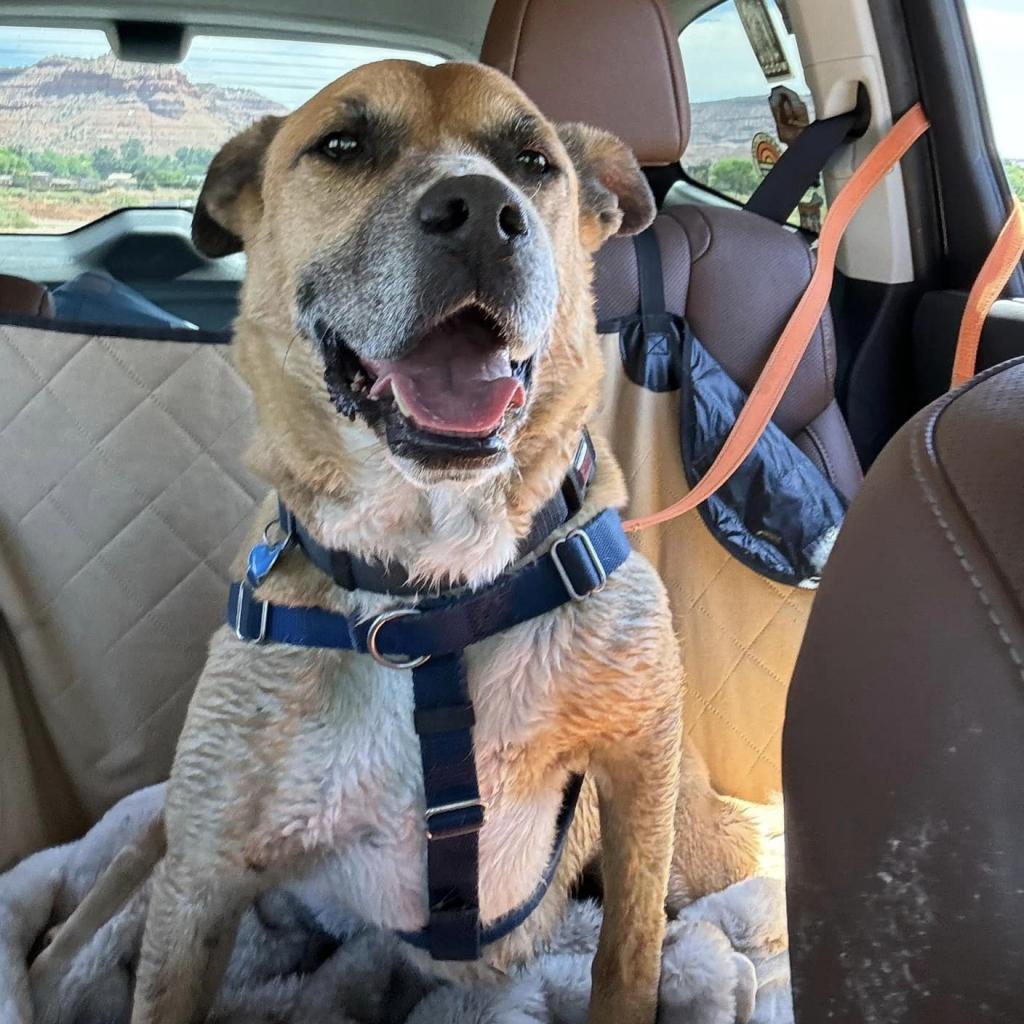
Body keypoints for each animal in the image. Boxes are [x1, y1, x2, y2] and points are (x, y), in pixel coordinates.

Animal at [101, 59, 761, 1019]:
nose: (484, 213)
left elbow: (627, 950)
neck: (425, 585)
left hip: (698, 837)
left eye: (533, 161)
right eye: (341, 144)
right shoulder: (199, 875)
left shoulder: (641, 759)